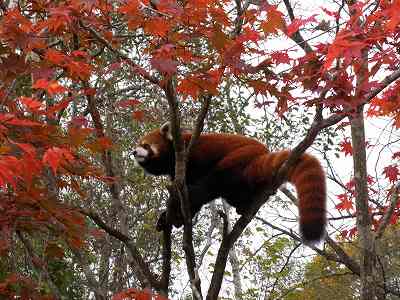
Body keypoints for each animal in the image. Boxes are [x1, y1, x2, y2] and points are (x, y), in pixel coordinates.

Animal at [133, 121, 326, 241]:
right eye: (138, 144)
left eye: (145, 145)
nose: (134, 152)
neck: (174, 156)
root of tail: (262, 153)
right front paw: (171, 217)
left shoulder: (191, 157)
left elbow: (192, 191)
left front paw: (175, 211)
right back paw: (246, 205)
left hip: (238, 158)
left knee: (213, 183)